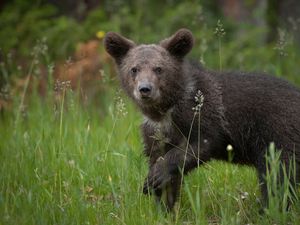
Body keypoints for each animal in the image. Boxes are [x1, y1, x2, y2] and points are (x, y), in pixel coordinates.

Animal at [103, 28, 300, 211]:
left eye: (158, 68)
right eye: (134, 69)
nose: (145, 89)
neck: (166, 111)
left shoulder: (204, 115)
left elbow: (201, 144)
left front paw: (154, 179)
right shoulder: (156, 132)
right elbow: (160, 161)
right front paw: (163, 205)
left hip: (277, 131)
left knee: (278, 173)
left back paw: (269, 209)